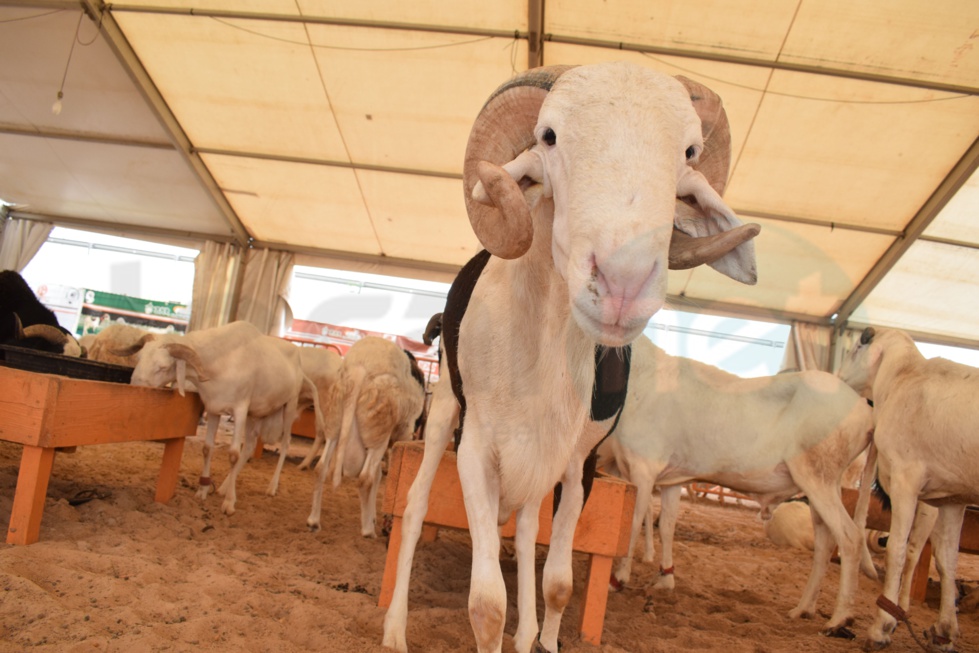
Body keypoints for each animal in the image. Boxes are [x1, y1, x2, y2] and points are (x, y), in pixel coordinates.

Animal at [125, 320, 310, 515]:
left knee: (285, 444)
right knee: (250, 446)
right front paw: (203, 491)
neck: (222, 359)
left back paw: (271, 487)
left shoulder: (240, 409)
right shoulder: (213, 409)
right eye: (139, 359)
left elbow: (233, 454)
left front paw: (229, 503)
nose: (134, 387)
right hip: (254, 414)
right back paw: (224, 487)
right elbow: (207, 449)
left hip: (289, 406)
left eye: (163, 367)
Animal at [306, 336, 425, 537]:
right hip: (379, 432)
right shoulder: (401, 434)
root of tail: (359, 367)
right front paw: (372, 520)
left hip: (335, 421)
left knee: (321, 468)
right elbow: (378, 476)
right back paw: (367, 530)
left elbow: (379, 475)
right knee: (365, 478)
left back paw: (314, 521)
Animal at [382, 61, 760, 653]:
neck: (544, 358)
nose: (624, 283)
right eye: (549, 136)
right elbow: (487, 604)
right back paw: (395, 630)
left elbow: (557, 581)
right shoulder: (477, 447)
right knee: (418, 504)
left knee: (527, 528)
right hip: (443, 410)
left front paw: (542, 636)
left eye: (690, 152)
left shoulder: (580, 462)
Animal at [600, 335, 876, 636]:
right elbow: (667, 526)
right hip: (825, 484)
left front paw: (618, 579)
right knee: (825, 545)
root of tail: (866, 411)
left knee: (850, 538)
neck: (642, 375)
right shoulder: (672, 478)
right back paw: (803, 609)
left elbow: (632, 522)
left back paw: (839, 619)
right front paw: (665, 579)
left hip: (817, 476)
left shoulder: (642, 469)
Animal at [838, 326, 979, 651]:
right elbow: (947, 560)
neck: (902, 378)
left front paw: (882, 627)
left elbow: (898, 551)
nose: (837, 377)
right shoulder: (953, 499)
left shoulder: (906, 481)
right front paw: (943, 631)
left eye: (855, 349)